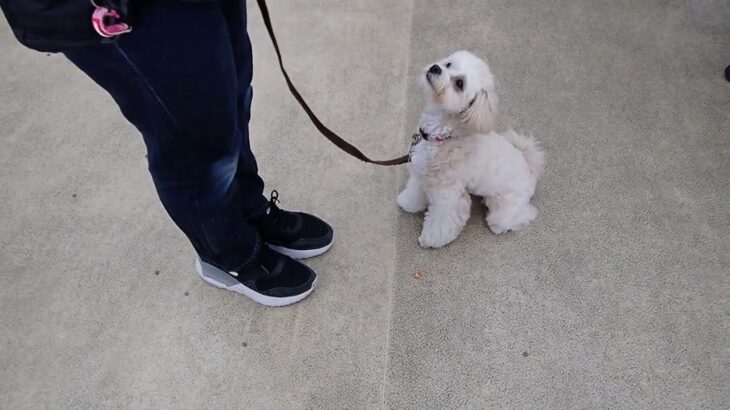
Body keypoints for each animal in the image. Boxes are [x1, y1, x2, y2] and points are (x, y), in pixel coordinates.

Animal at [396, 51, 544, 250]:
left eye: (459, 84)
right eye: (448, 64)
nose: (435, 67)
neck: (443, 136)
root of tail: (529, 167)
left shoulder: (449, 196)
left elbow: (442, 221)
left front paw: (431, 240)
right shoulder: (421, 174)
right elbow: (414, 191)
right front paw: (407, 203)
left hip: (505, 204)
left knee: (520, 215)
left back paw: (503, 225)